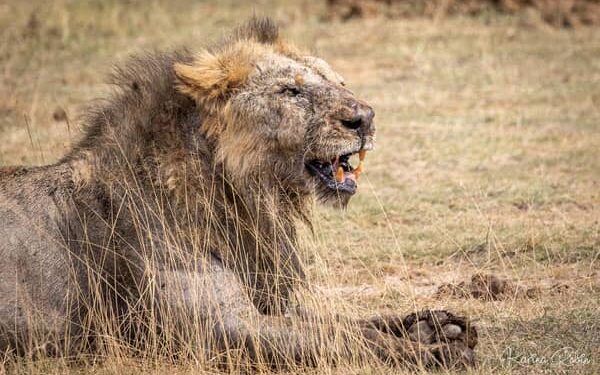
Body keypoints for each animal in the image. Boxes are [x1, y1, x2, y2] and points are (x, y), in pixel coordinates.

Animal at [1, 16, 478, 370]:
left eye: (338, 82)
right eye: (291, 91)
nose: (364, 118)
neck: (243, 198)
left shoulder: (266, 299)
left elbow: (346, 322)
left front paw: (435, 326)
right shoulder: (217, 328)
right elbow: (343, 340)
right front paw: (437, 351)